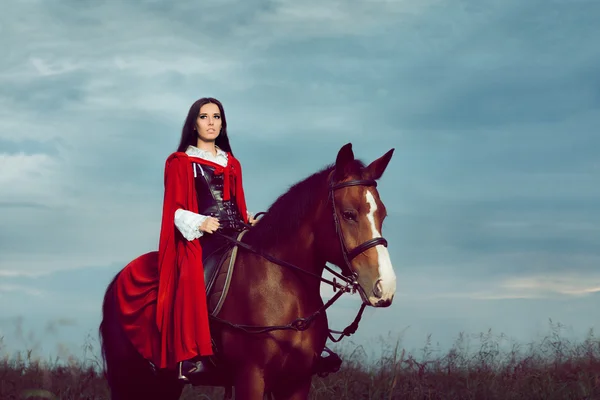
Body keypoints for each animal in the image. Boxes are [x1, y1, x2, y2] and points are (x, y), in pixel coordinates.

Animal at [99, 144, 398, 400]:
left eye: (383, 214)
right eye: (348, 214)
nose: (384, 286)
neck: (284, 290)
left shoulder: (297, 381)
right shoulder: (251, 377)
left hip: (164, 381)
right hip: (128, 376)